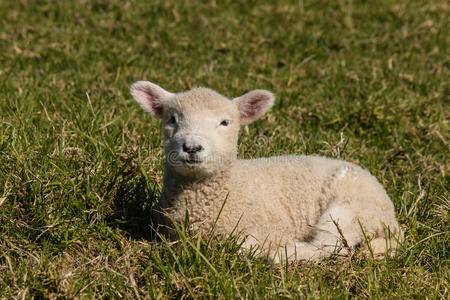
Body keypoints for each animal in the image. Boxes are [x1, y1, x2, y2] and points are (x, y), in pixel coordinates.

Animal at [131, 81, 404, 262]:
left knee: (332, 244)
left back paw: (282, 253)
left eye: (225, 122)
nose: (192, 147)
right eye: (172, 119)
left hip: (351, 209)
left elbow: (243, 244)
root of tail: (391, 220)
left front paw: (266, 247)